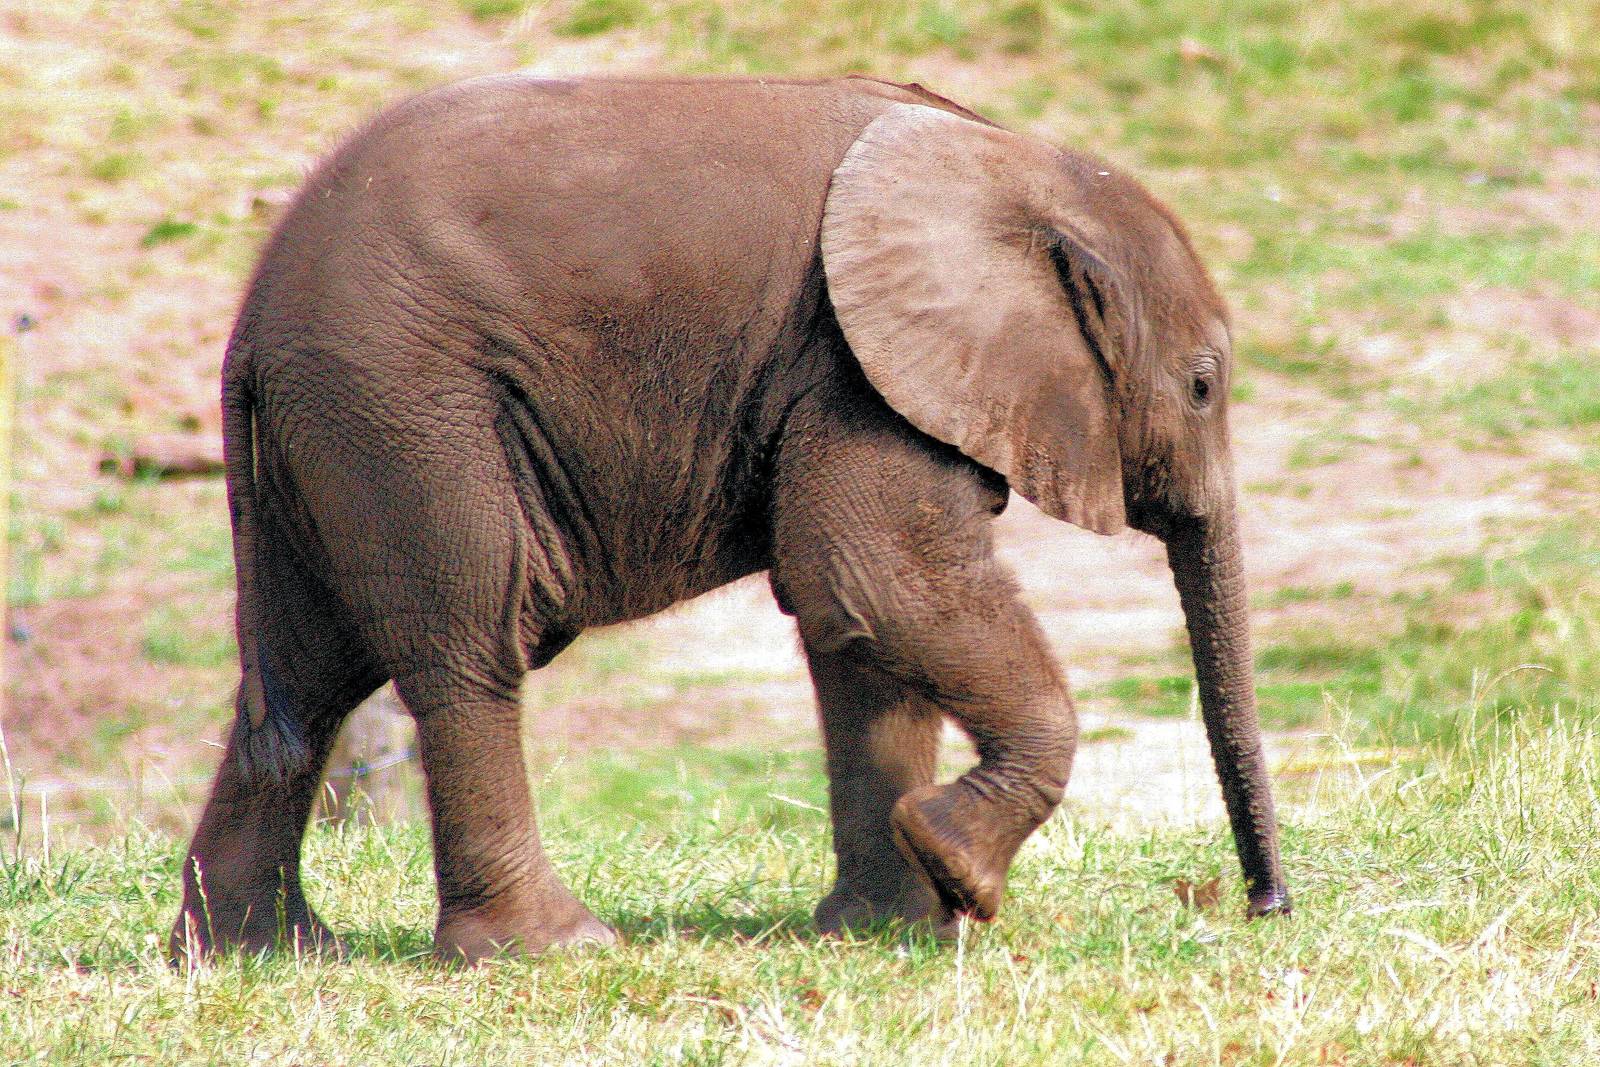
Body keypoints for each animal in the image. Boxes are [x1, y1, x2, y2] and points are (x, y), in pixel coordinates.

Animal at [169, 74, 1290, 964]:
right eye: (1203, 385)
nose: (1265, 908)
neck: (1013, 162)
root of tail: (251, 320)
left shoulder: (867, 366)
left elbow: (859, 625)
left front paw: (890, 926)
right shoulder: (853, 366)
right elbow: (874, 577)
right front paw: (957, 877)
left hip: (331, 433)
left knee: (304, 681)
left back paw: (258, 951)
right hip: (404, 407)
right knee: (466, 651)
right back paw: (554, 948)